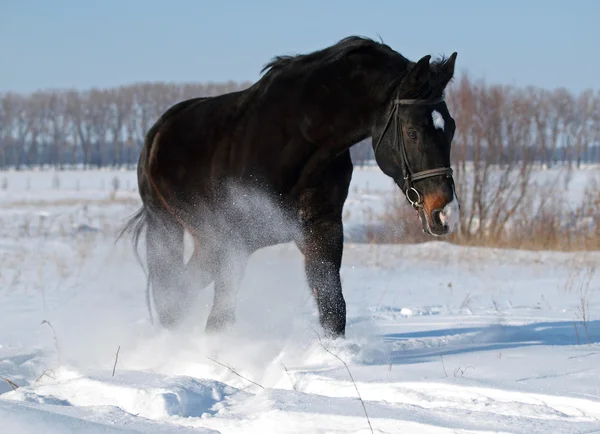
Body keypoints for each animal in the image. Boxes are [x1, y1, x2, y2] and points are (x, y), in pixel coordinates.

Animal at [120, 35, 460, 338]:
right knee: (173, 293)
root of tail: (158, 130)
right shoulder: (234, 244)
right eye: (412, 132)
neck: (297, 142)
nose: (445, 213)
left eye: (451, 127)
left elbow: (333, 309)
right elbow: (220, 318)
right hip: (168, 226)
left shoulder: (321, 231)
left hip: (207, 240)